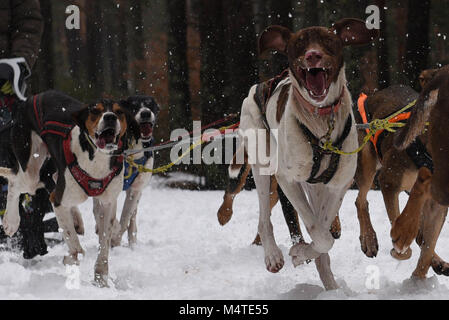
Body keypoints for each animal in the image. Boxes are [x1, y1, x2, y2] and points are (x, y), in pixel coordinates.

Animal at [0, 90, 139, 288]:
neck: (95, 159)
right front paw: (72, 257)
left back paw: (76, 219)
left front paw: (101, 278)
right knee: (15, 183)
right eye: (95, 111)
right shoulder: (58, 201)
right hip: (30, 169)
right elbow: (73, 245)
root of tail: (30, 99)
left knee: (52, 180)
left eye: (119, 111)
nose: (110, 117)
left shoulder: (107, 203)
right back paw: (10, 221)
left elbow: (104, 246)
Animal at [238, 19, 378, 290]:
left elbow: (324, 235)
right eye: (299, 43)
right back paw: (273, 255)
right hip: (262, 164)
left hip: (316, 187)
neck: (321, 120)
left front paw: (305, 253)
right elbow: (319, 232)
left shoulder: (337, 186)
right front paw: (299, 252)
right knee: (264, 218)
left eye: (328, 40)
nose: (313, 55)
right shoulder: (287, 179)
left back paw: (330, 285)